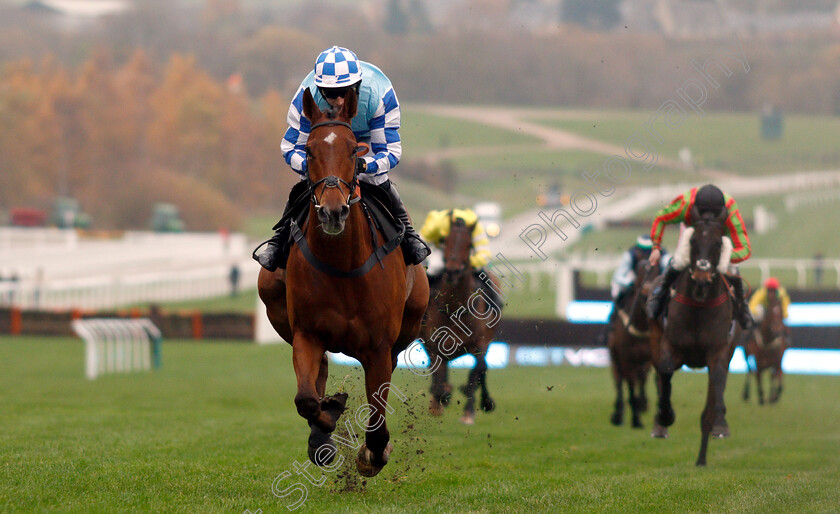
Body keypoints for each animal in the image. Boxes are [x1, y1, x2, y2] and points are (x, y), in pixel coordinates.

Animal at [256, 88, 430, 476]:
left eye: (353, 150)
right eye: (309, 151)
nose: (333, 212)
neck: (342, 267)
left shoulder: (379, 346)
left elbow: (378, 421)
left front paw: (372, 454)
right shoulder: (307, 333)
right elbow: (307, 399)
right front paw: (328, 418)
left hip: (410, 321)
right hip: (276, 303)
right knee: (318, 371)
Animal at [420, 214, 498, 422]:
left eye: (469, 243)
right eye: (446, 240)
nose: (453, 271)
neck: (455, 308)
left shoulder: (480, 343)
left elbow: (478, 370)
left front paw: (469, 411)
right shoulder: (434, 345)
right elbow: (439, 377)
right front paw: (442, 397)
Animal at [608, 258, 660, 426]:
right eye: (643, 294)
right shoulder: (627, 358)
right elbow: (630, 386)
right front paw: (636, 419)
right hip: (615, 356)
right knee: (619, 379)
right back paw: (618, 414)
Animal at [648, 208, 740, 464]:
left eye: (718, 243)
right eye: (692, 241)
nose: (701, 278)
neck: (699, 305)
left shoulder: (719, 350)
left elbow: (717, 383)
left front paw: (719, 426)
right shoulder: (669, 345)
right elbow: (665, 373)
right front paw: (665, 416)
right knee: (660, 377)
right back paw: (660, 425)